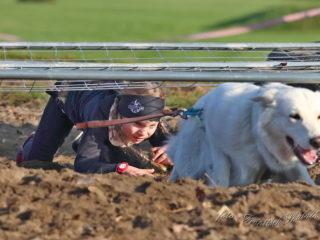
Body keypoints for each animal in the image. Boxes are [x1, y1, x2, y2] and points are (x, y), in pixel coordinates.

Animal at [169, 83, 320, 188]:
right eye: (294, 116)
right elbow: (221, 179)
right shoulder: (217, 149)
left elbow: (306, 180)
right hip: (189, 163)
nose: (317, 141)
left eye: (318, 116)